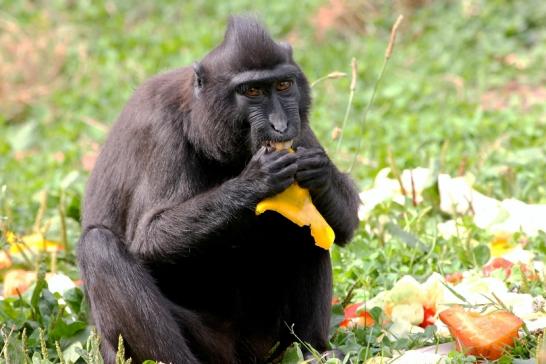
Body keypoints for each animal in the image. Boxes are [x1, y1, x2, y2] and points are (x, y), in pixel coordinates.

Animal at [76, 16, 356, 364]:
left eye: (283, 85)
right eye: (251, 91)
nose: (279, 126)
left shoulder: (299, 130)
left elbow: (347, 223)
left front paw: (317, 169)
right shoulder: (161, 128)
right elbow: (149, 236)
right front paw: (256, 181)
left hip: (267, 340)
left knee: (303, 228)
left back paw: (314, 350)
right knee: (99, 247)